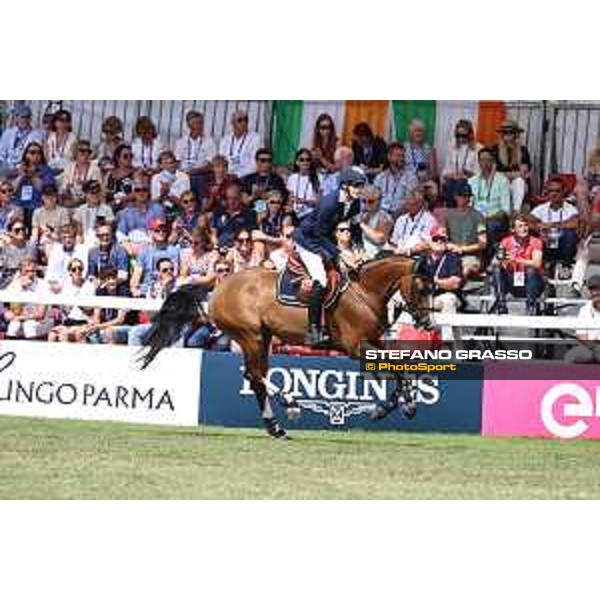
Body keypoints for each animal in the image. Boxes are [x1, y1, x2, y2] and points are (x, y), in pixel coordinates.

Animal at [141, 253, 432, 436]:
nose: (427, 323)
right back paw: (289, 403)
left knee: (256, 378)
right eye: (421, 287)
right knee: (255, 375)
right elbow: (393, 365)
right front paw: (400, 405)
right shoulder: (355, 346)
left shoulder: (374, 341)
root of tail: (218, 288)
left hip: (263, 337)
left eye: (434, 288)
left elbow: (397, 366)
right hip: (251, 336)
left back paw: (275, 427)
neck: (364, 293)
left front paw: (393, 406)